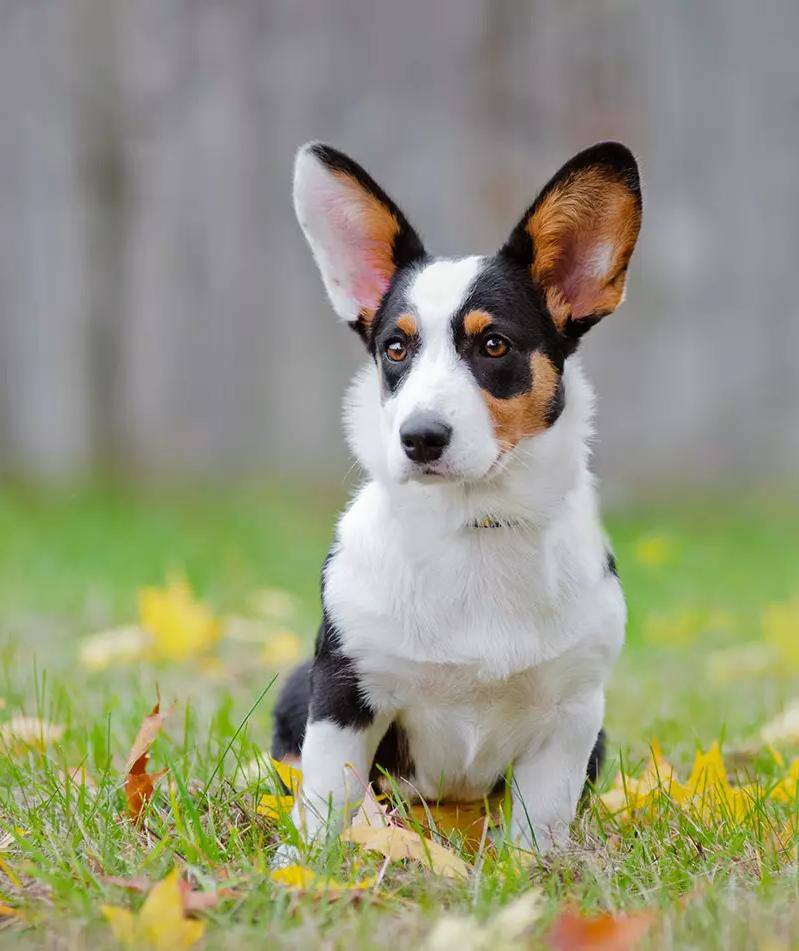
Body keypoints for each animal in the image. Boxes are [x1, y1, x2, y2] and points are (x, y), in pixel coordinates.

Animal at [276, 138, 644, 852]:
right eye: (395, 348)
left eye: (493, 344)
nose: (420, 438)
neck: (475, 525)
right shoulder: (343, 693)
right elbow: (328, 798)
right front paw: (302, 862)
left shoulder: (572, 716)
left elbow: (537, 827)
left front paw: (531, 867)